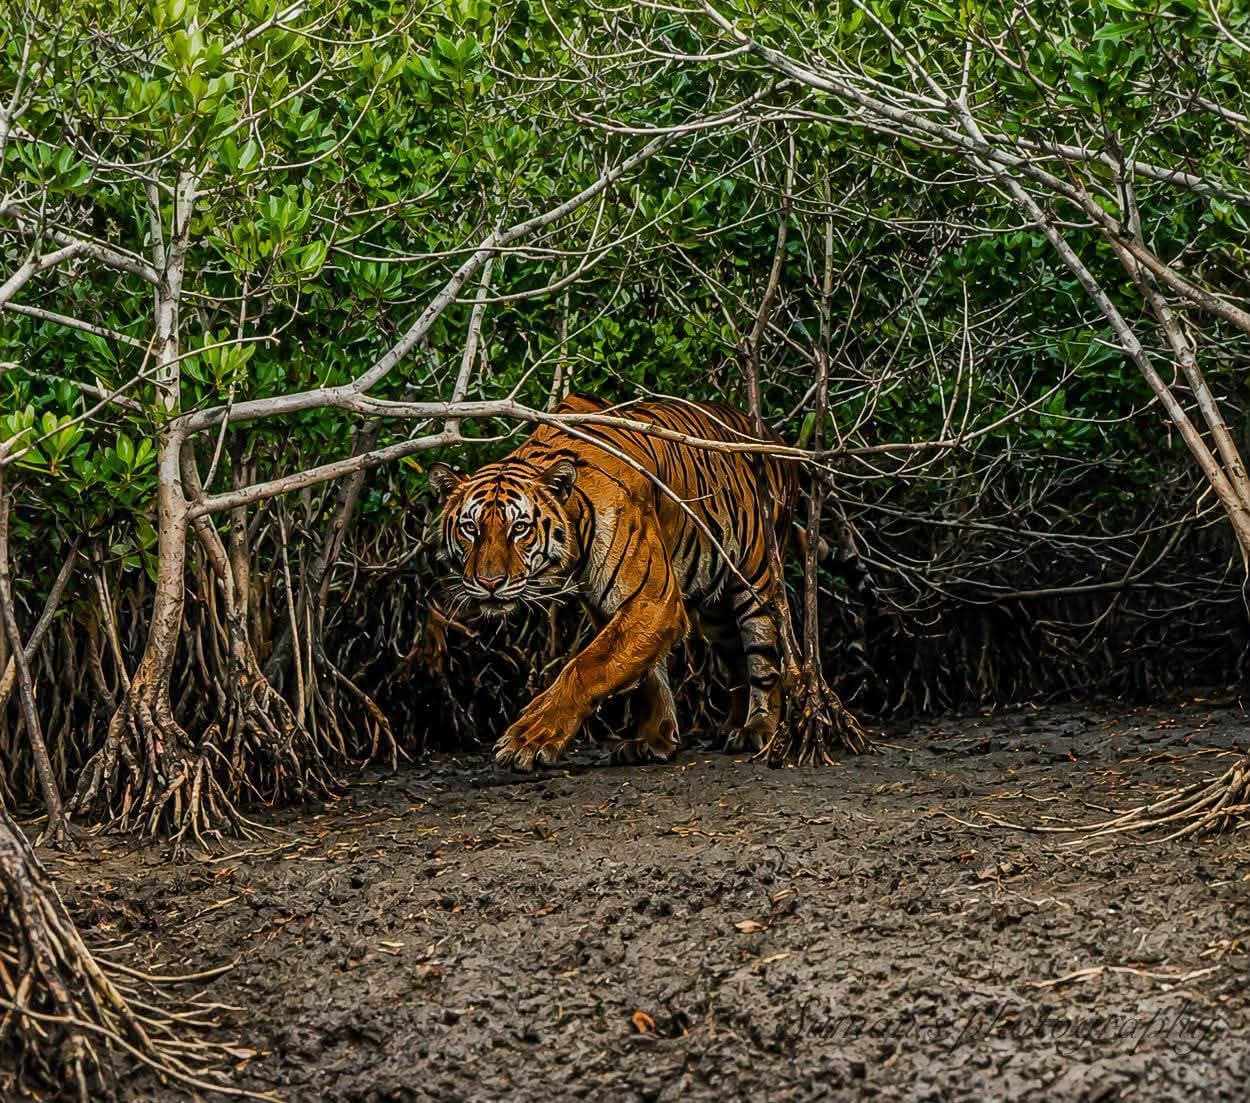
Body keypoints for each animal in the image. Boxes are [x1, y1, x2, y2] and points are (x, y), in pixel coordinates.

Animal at [428, 394, 799, 771]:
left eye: (519, 528)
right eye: (470, 528)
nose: (489, 582)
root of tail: (770, 434)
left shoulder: (652, 602)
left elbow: (584, 667)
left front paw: (528, 739)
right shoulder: (612, 607)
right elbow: (642, 674)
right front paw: (653, 740)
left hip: (756, 582)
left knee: (765, 658)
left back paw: (758, 729)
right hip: (715, 613)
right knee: (736, 658)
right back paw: (733, 726)